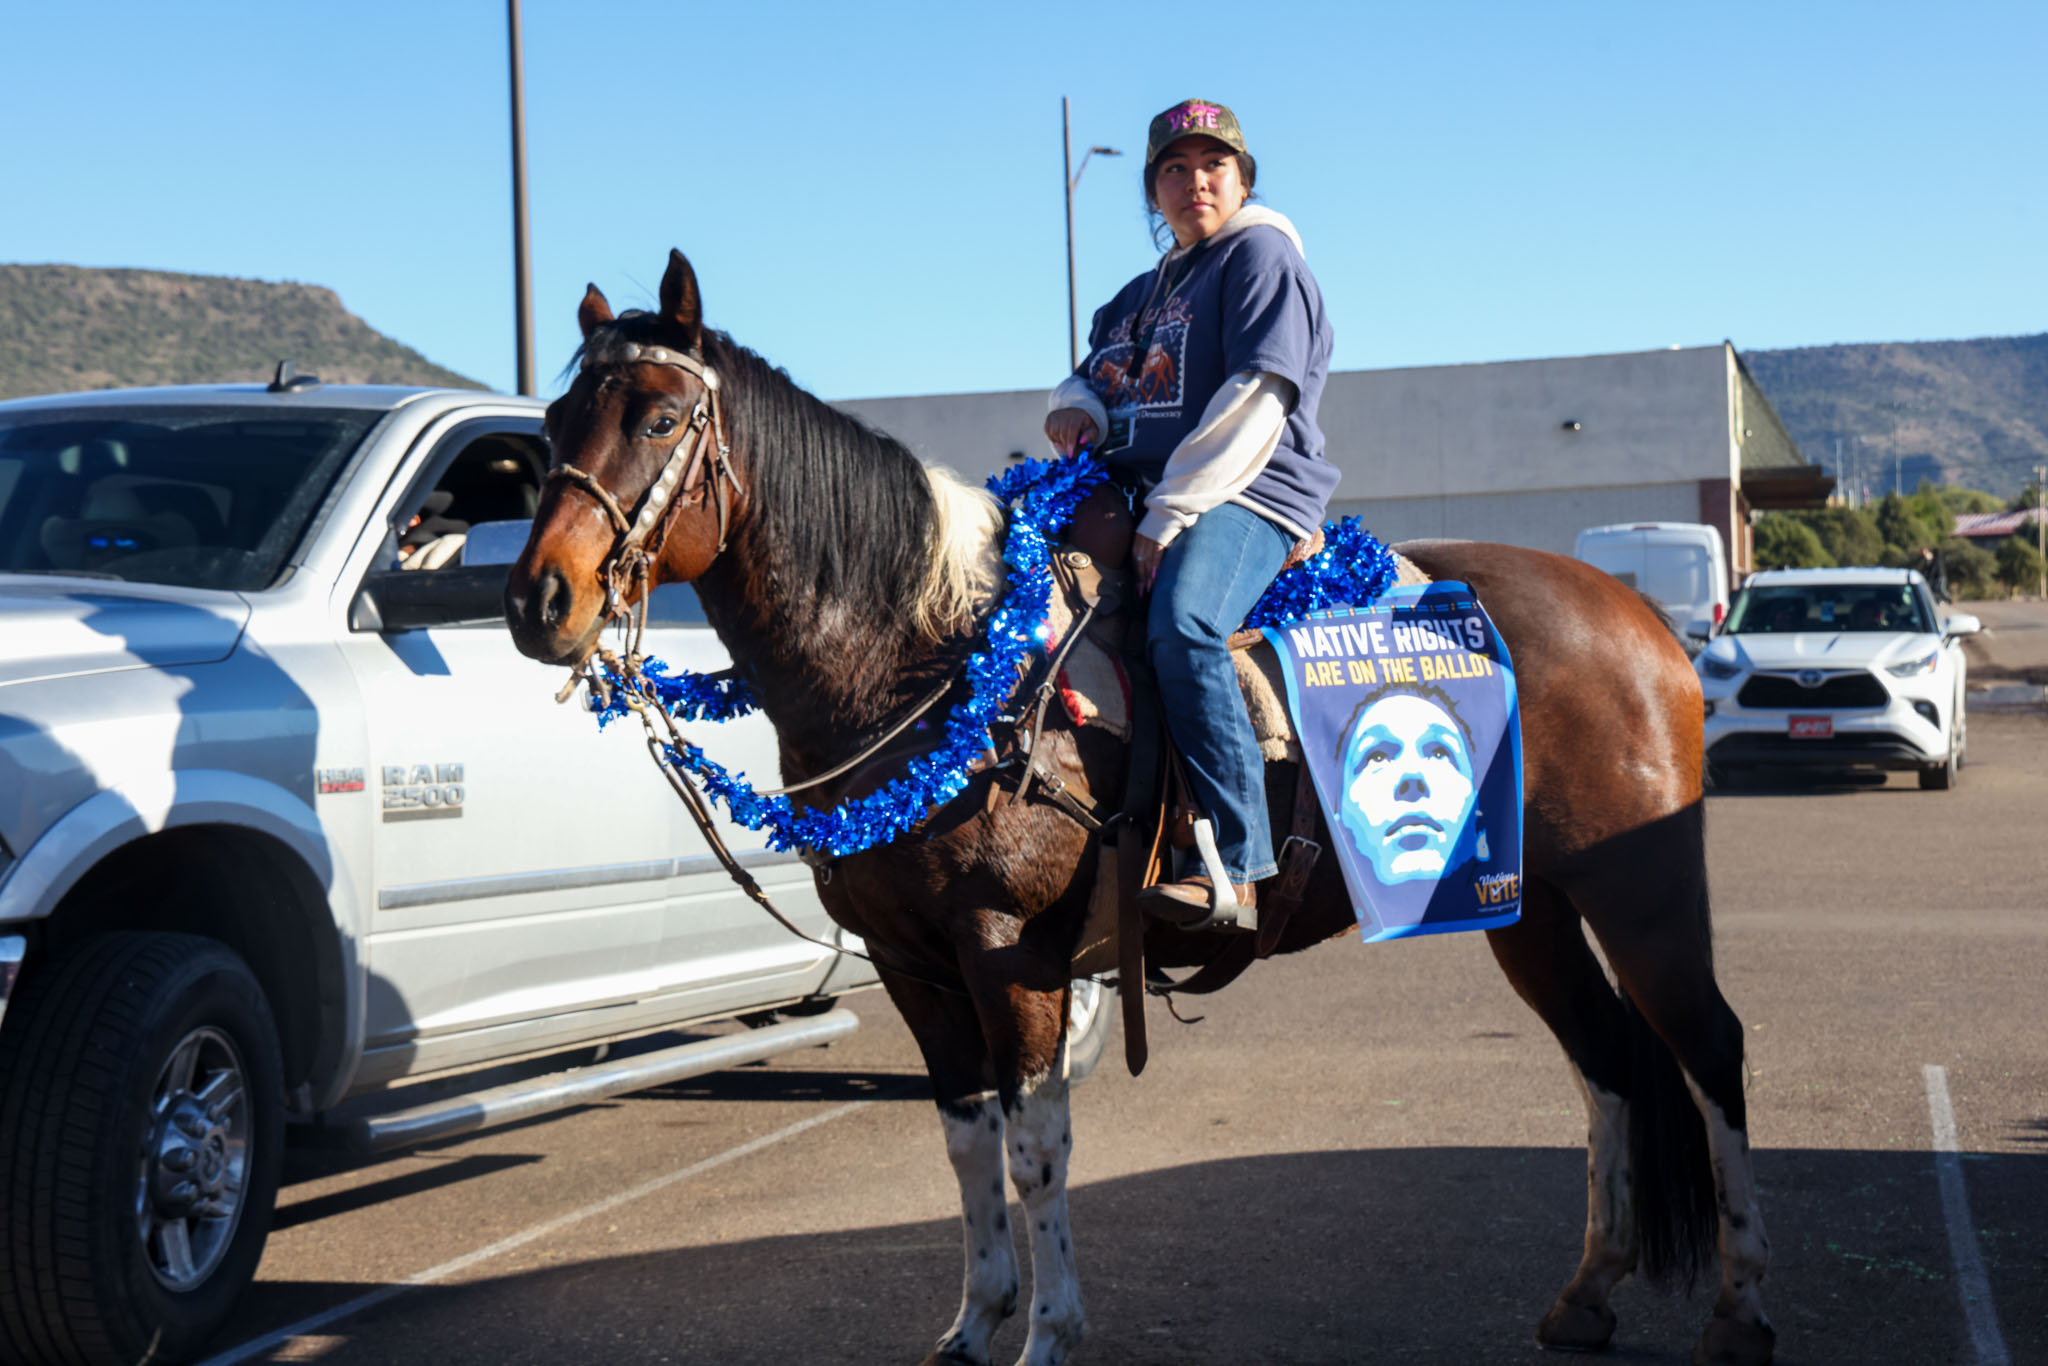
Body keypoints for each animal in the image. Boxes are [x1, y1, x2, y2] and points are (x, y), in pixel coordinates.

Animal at [503, 250, 1769, 1366]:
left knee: (1706, 1045)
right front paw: (974, 1324)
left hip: (1638, 885)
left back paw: (1736, 1312)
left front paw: (1048, 1331)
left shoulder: (1008, 952)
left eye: (659, 417)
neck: (930, 651)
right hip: (1530, 906)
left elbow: (1035, 1148)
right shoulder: (911, 965)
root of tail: (1635, 613)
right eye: (554, 423)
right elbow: (965, 1146)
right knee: (1606, 1060)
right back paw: (1587, 1292)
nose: (537, 601)